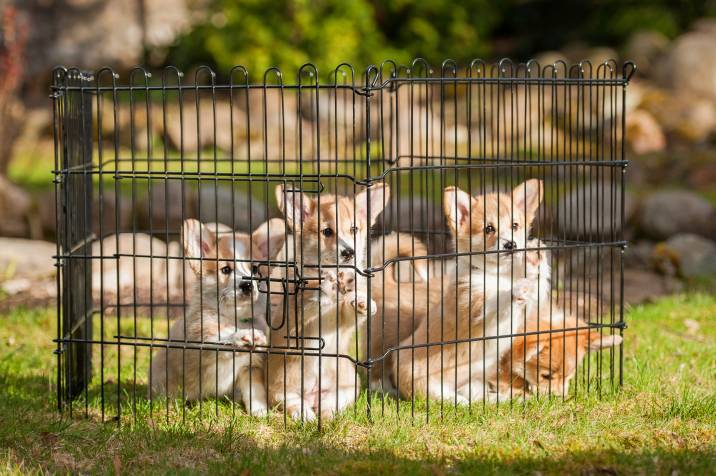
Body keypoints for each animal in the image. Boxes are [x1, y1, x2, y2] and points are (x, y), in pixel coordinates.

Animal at [149, 218, 286, 414]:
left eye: (254, 269)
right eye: (225, 270)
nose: (247, 285)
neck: (235, 316)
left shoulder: (250, 366)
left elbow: (255, 390)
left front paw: (259, 411)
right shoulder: (202, 340)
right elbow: (221, 338)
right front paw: (243, 335)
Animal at [266, 182, 388, 420]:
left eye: (353, 229)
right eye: (327, 232)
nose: (349, 252)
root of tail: (313, 392)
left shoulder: (344, 319)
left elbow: (350, 307)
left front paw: (363, 301)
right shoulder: (296, 320)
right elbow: (310, 300)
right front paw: (325, 288)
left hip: (349, 387)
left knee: (330, 406)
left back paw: (327, 415)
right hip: (283, 388)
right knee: (293, 403)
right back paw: (305, 416)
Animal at [392, 180, 544, 404]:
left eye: (515, 226)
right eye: (489, 229)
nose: (511, 244)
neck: (496, 273)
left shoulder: (528, 307)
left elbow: (535, 286)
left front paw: (533, 262)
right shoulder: (475, 307)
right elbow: (497, 301)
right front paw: (513, 289)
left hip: (475, 383)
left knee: (481, 397)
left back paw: (503, 399)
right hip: (427, 385)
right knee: (447, 398)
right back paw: (461, 403)